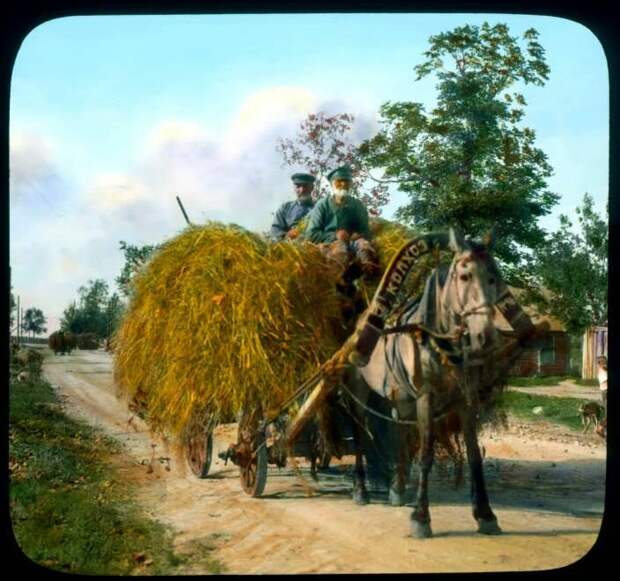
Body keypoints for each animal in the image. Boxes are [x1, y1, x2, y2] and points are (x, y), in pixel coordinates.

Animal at [344, 229, 532, 536]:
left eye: (494, 278)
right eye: (464, 276)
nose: (486, 337)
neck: (441, 341)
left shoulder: (467, 400)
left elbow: (473, 455)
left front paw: (485, 514)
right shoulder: (426, 397)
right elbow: (426, 454)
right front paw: (421, 517)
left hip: (398, 395)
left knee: (397, 431)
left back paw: (397, 487)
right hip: (360, 391)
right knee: (359, 432)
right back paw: (360, 489)